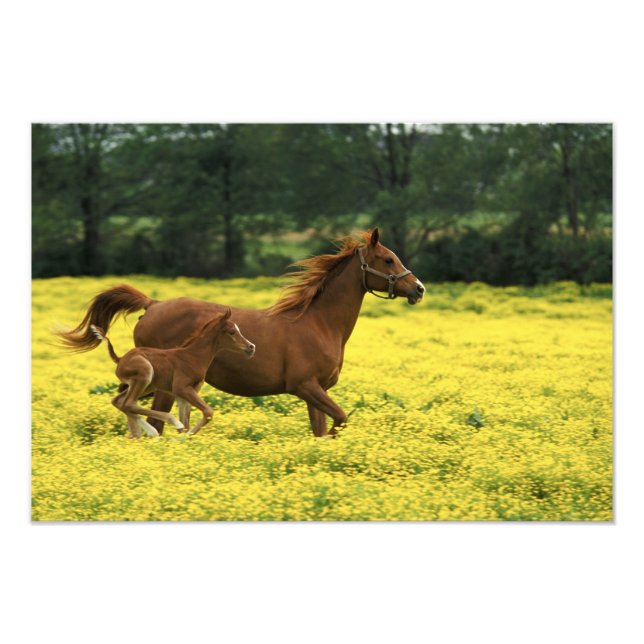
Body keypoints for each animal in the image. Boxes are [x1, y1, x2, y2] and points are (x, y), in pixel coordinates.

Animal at [89, 308, 255, 438]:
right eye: (232, 332)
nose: (251, 347)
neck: (193, 356)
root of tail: (120, 359)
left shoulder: (185, 392)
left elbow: (187, 420)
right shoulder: (181, 388)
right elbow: (207, 412)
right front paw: (183, 436)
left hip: (147, 385)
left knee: (120, 402)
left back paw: (138, 434)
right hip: (145, 374)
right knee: (129, 403)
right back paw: (161, 427)